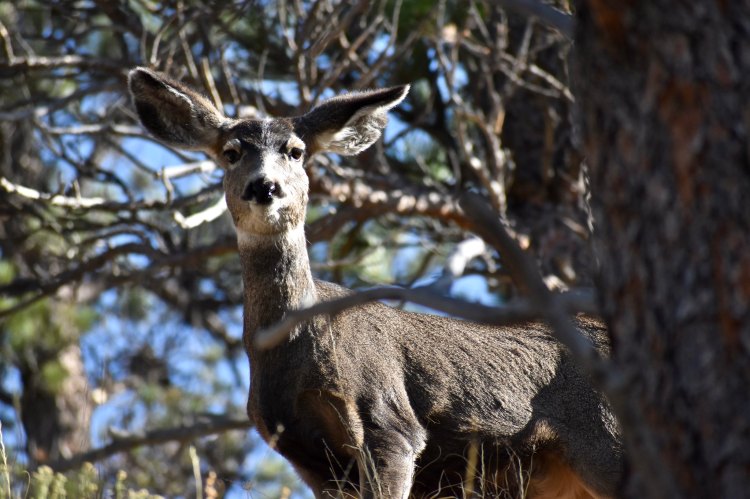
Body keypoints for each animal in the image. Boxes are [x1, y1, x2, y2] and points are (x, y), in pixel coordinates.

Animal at [128, 67, 622, 499]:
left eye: (295, 151)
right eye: (231, 152)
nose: (264, 187)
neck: (292, 351)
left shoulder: (390, 423)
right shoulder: (311, 460)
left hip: (607, 442)